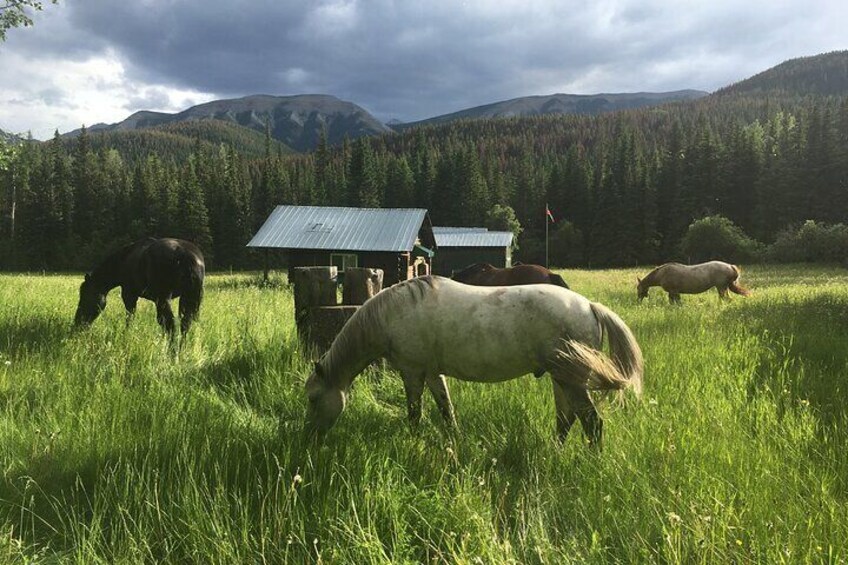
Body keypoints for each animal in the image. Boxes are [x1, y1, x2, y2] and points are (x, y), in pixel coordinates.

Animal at [73, 237, 205, 338]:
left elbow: (130, 317)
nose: (77, 324)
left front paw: (126, 335)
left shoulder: (129, 295)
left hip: (163, 300)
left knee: (170, 325)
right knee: (184, 325)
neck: (123, 260)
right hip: (187, 298)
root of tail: (186, 255)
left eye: (85, 297)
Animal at [304, 276, 644, 448]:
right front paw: (454, 439)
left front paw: (412, 442)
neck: (391, 314)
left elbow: (414, 413)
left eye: (313, 398)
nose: (311, 437)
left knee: (592, 423)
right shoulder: (432, 374)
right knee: (566, 419)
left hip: (570, 380)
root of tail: (589, 306)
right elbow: (446, 409)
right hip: (561, 379)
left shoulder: (412, 373)